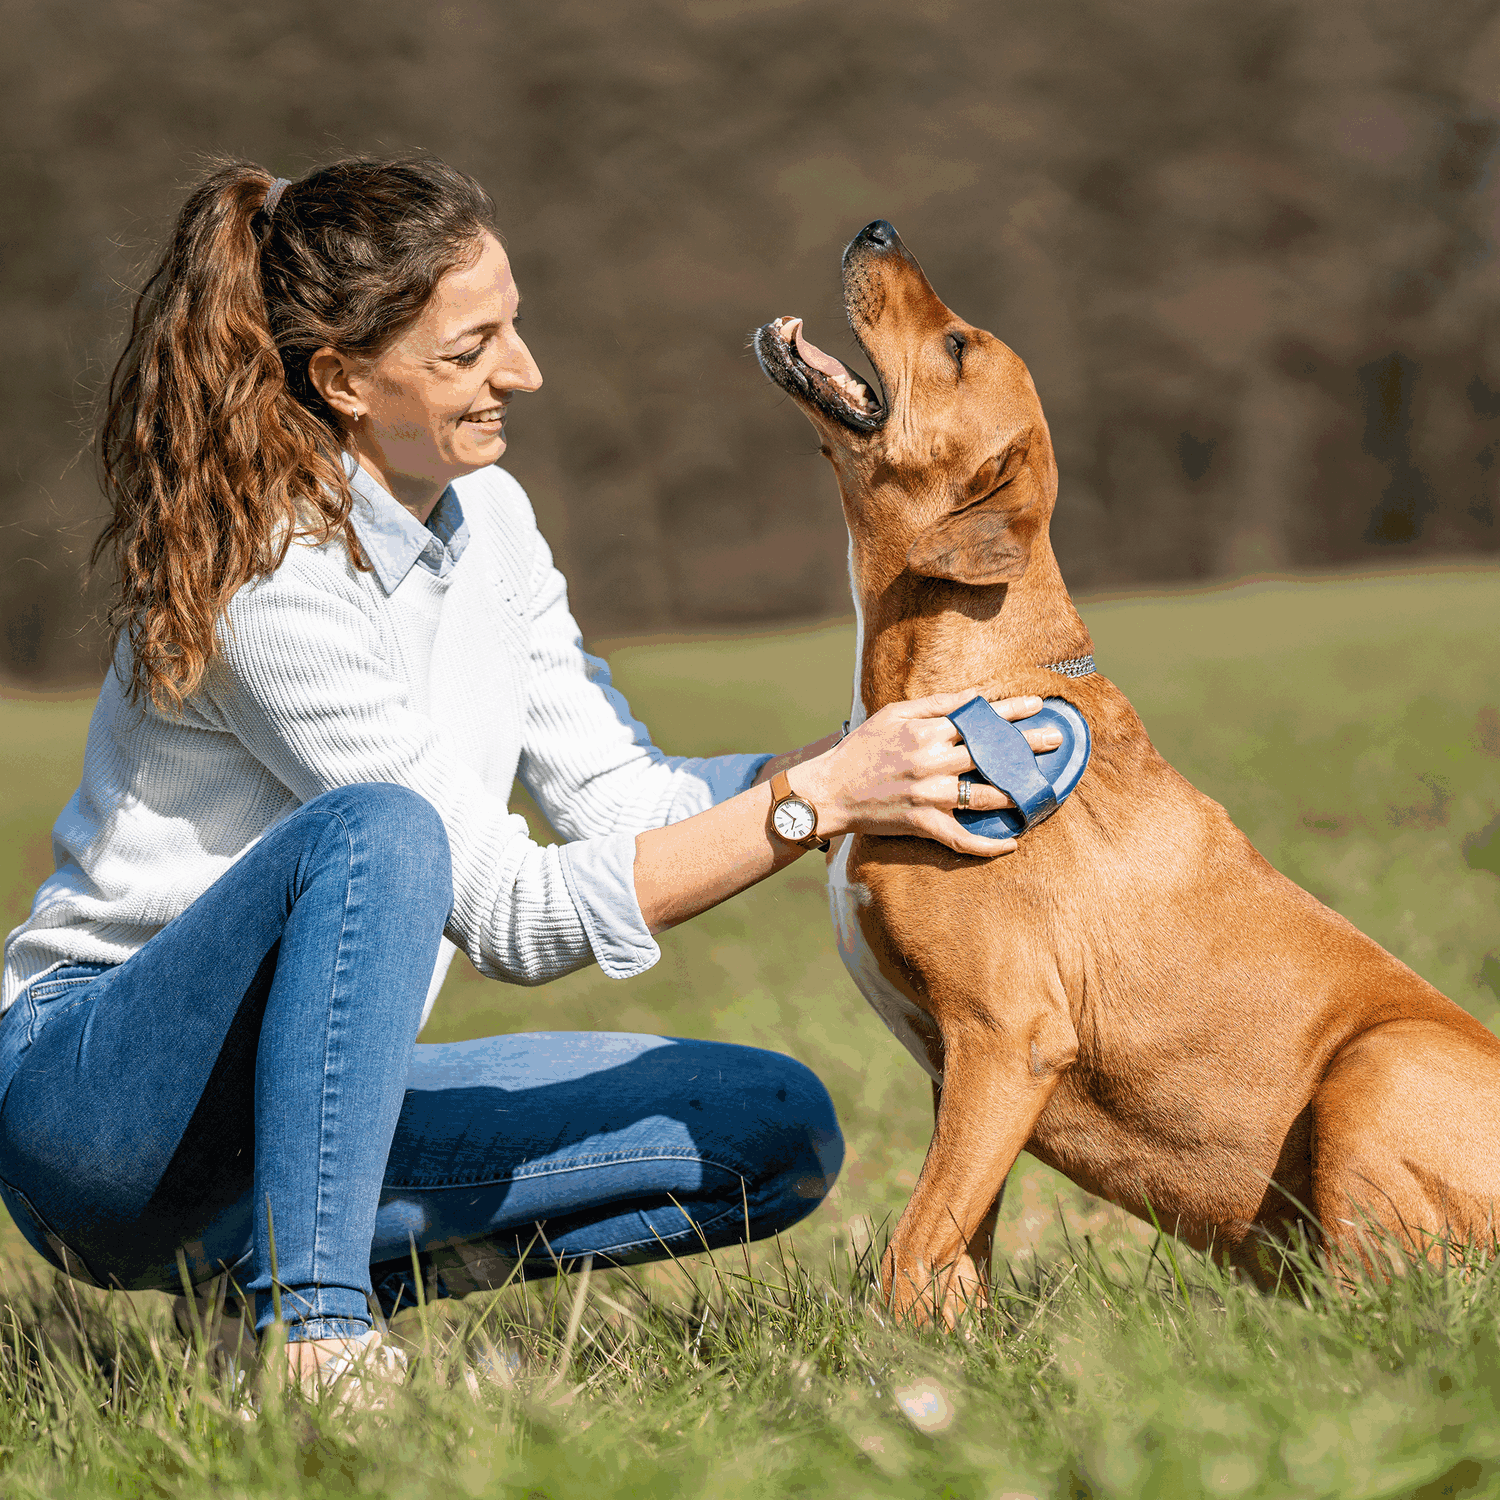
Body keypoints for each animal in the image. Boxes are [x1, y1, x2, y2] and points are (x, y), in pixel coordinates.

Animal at [756, 217, 1500, 1320]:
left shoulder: (1006, 1035)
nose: (877, 227)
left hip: (1378, 1066)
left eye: (958, 347)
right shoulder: (965, 1072)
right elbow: (953, 1248)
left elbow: (912, 1250)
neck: (980, 668)